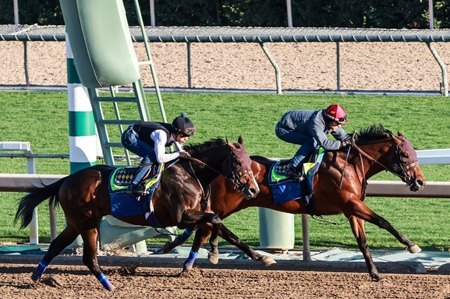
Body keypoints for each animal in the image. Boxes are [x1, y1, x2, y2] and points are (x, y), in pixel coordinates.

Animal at [14, 138, 260, 290]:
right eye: (237, 162)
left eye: (250, 161)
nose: (253, 189)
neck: (190, 174)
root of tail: (66, 180)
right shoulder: (181, 217)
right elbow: (214, 220)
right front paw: (208, 251)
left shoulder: (199, 212)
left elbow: (223, 228)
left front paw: (259, 256)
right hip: (87, 222)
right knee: (88, 257)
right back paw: (108, 285)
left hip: (77, 223)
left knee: (57, 245)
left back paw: (36, 277)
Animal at [163, 125, 426, 282]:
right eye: (405, 155)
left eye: (414, 153)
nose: (420, 181)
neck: (349, 164)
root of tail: (217, 170)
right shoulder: (351, 203)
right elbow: (383, 221)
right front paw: (412, 246)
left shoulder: (351, 208)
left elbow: (362, 241)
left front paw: (374, 272)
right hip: (226, 203)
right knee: (207, 228)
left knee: (209, 227)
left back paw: (211, 254)